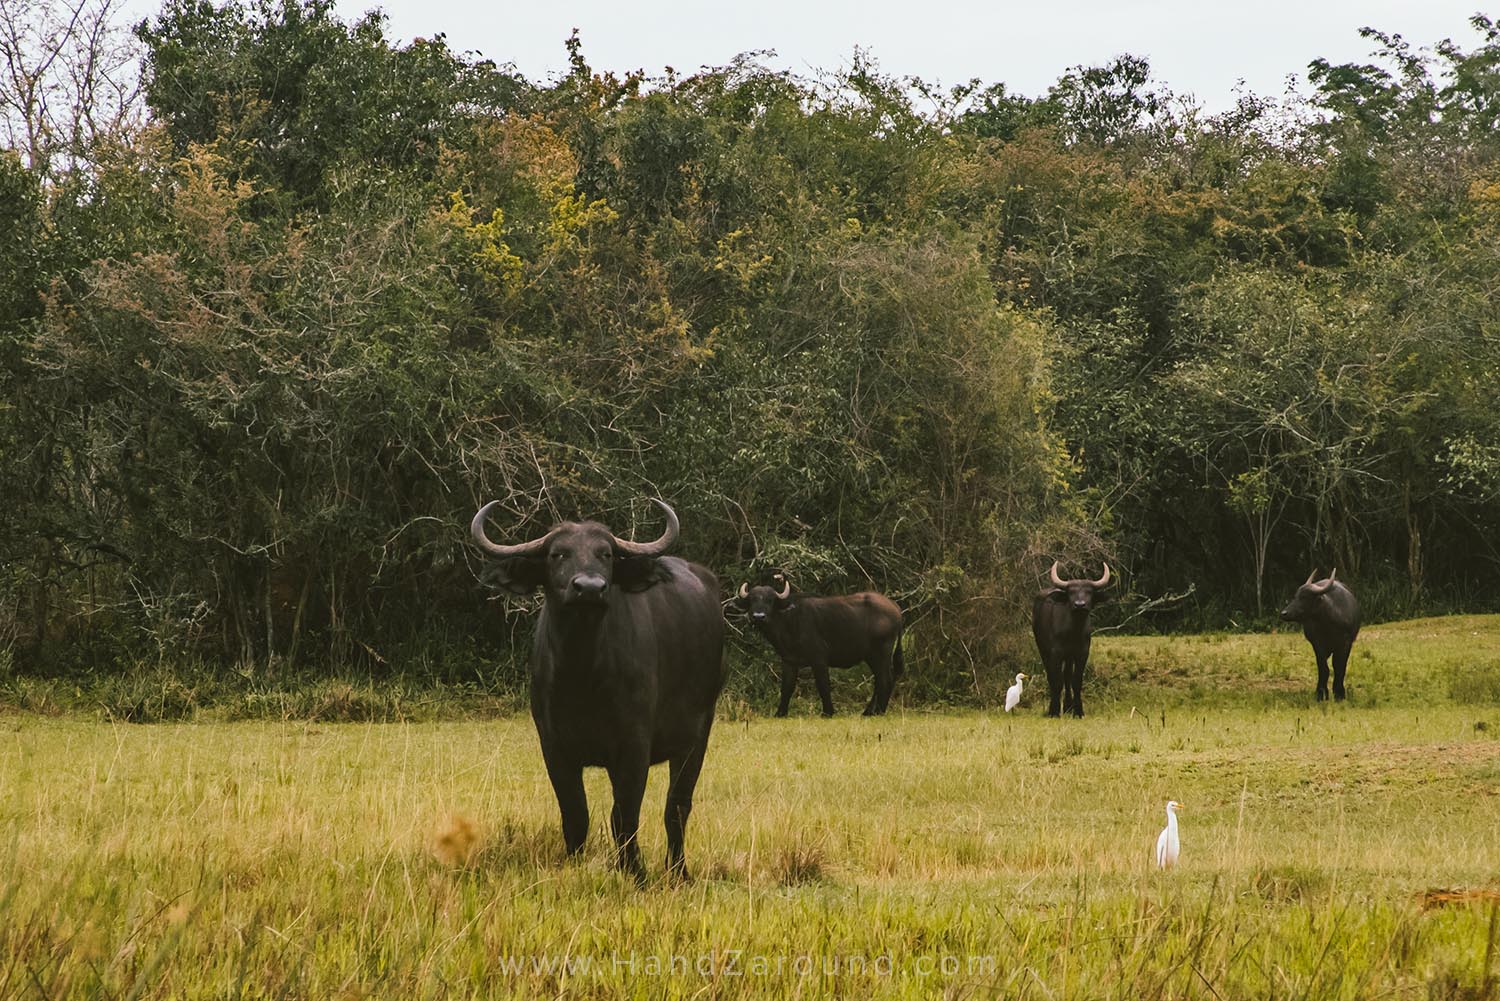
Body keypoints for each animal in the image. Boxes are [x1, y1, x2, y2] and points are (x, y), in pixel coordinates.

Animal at [468, 498, 726, 882]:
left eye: (605, 554)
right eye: (557, 554)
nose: (589, 588)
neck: (583, 674)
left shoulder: (634, 746)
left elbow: (624, 815)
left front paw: (635, 872)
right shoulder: (554, 748)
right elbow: (576, 815)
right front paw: (576, 866)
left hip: (697, 735)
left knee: (677, 806)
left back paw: (679, 872)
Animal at [729, 576, 894, 717]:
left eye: (770, 600)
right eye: (751, 600)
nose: (758, 616)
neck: (789, 620)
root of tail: (895, 610)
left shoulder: (819, 660)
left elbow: (823, 685)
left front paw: (828, 712)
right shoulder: (789, 661)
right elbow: (787, 687)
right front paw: (780, 713)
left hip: (881, 652)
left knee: (885, 680)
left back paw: (878, 711)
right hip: (871, 656)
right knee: (880, 680)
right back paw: (869, 711)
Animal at [1032, 564, 1116, 720]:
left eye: (1089, 592)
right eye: (1071, 592)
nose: (1079, 605)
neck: (1073, 631)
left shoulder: (1082, 653)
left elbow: (1075, 681)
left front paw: (1078, 711)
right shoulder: (1055, 653)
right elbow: (1056, 680)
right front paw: (1054, 711)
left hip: (1069, 656)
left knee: (1067, 676)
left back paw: (1068, 707)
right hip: (1043, 649)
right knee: (1051, 676)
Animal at [1278, 570, 1362, 705]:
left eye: (1304, 597)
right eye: (1296, 596)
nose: (1284, 613)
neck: (1328, 624)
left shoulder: (1345, 643)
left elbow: (1339, 667)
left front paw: (1339, 693)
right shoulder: (1318, 643)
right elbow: (1323, 668)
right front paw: (1321, 693)